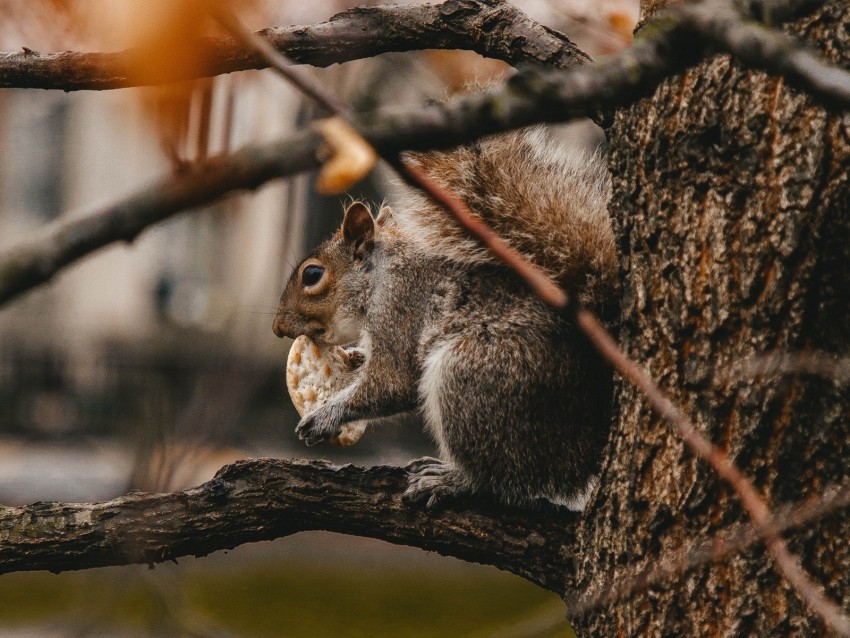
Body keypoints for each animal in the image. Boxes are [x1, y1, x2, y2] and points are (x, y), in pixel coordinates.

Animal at [272, 129, 616, 510]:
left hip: (474, 379)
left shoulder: (399, 308)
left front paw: (325, 416)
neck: (380, 274)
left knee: (501, 479)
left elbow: (392, 384)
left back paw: (452, 480)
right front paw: (356, 357)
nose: (278, 328)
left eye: (312, 275)